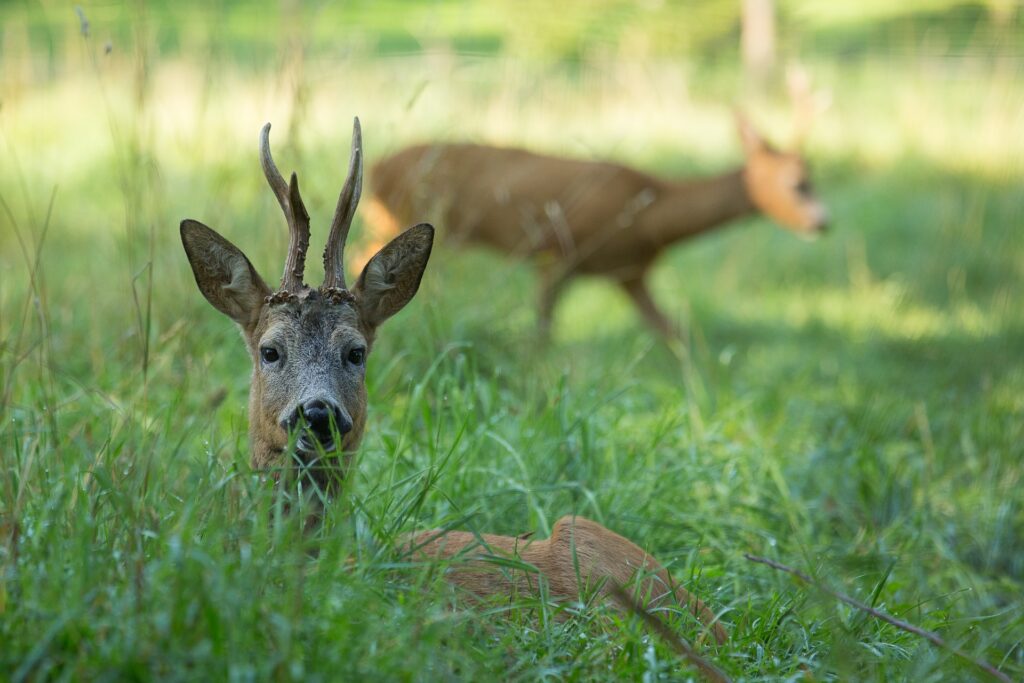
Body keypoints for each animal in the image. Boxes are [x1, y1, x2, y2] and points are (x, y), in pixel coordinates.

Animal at [364, 79, 827, 339]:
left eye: (811, 178)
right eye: (797, 182)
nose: (822, 221)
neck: (652, 216)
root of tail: (376, 167)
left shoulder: (630, 274)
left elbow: (673, 333)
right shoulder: (559, 254)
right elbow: (542, 334)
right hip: (402, 218)